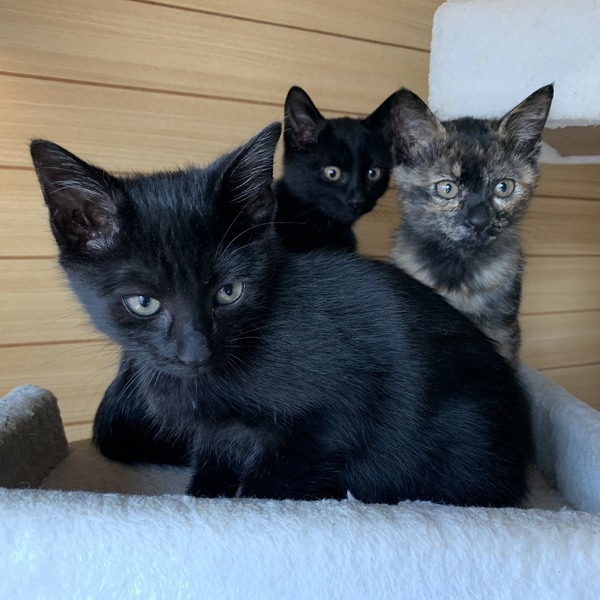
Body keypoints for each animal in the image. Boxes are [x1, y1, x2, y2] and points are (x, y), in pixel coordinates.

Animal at [31, 122, 532, 506]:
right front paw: (203, 500)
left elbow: (274, 481)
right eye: (143, 302)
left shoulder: (334, 415)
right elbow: (213, 466)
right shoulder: (215, 436)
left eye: (229, 292)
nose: (196, 351)